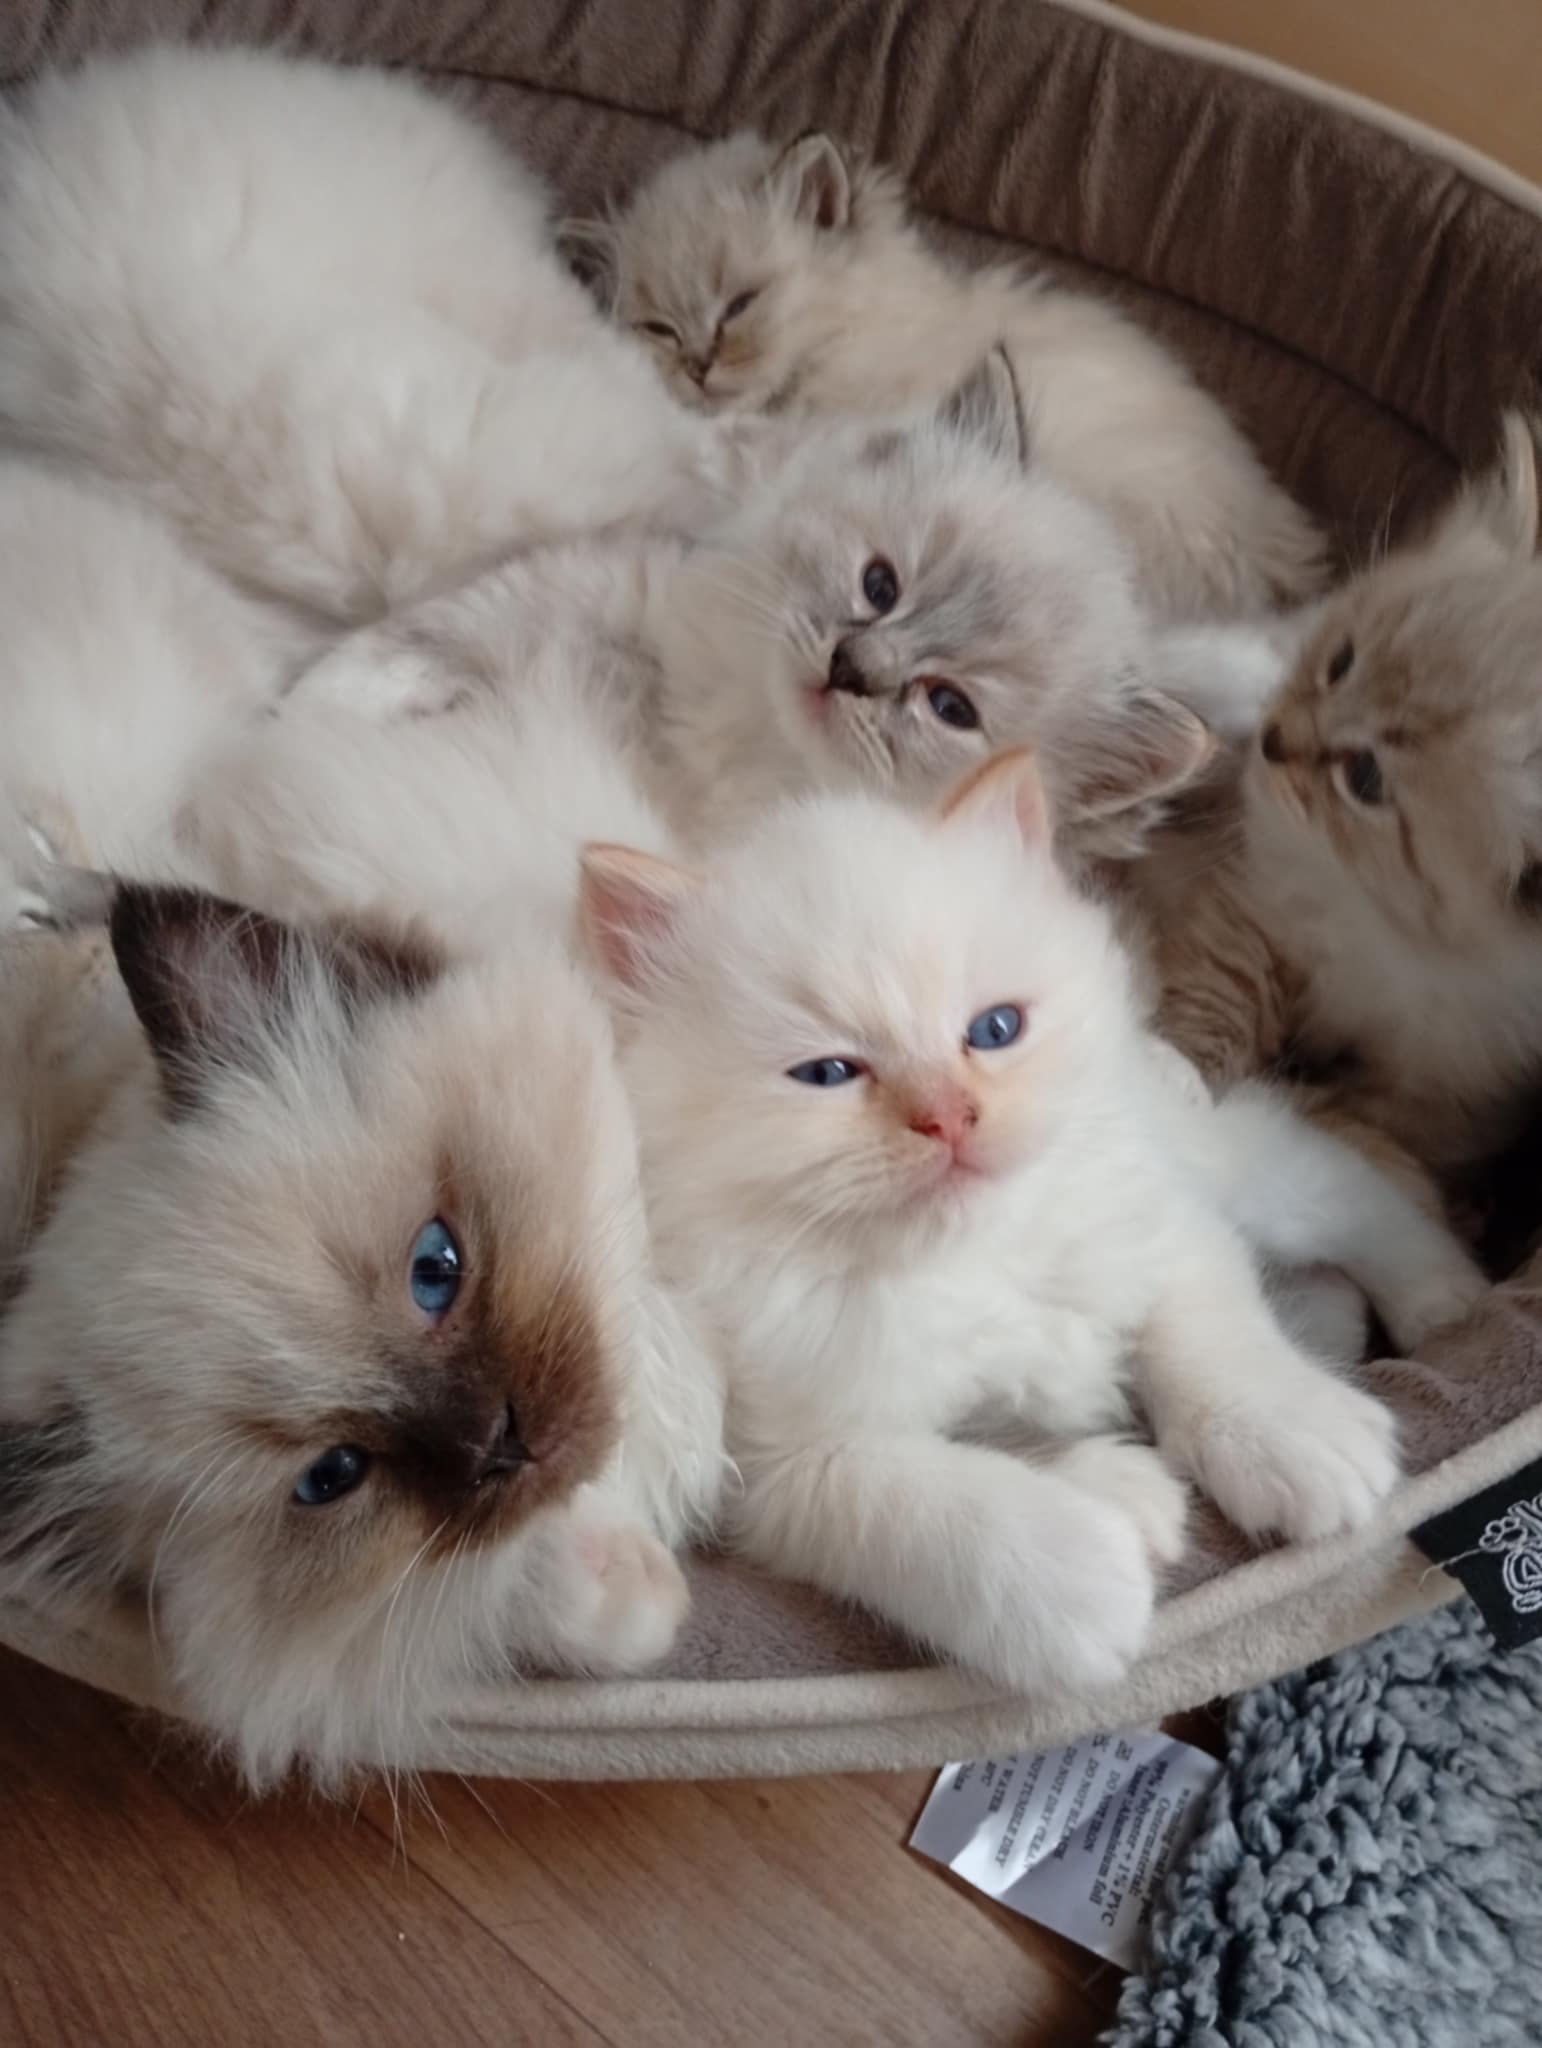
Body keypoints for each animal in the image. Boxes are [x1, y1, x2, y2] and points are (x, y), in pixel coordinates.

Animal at [572, 749, 1461, 1694]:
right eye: (828, 1074)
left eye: (994, 1029)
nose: (949, 1117)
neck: (968, 1260)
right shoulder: (785, 1463)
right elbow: (934, 1506)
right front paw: (1086, 1573)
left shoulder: (1157, 1228)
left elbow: (1207, 1339)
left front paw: (1293, 1433)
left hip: (1212, 1158)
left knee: (1331, 1181)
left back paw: (1445, 1294)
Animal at [1144, 411, 1542, 1177]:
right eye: (1341, 662)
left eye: (1365, 778)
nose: (1271, 741)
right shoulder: (1257, 910)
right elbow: (1216, 999)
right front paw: (1177, 1068)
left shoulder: (1446, 1087)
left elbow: (1377, 1127)